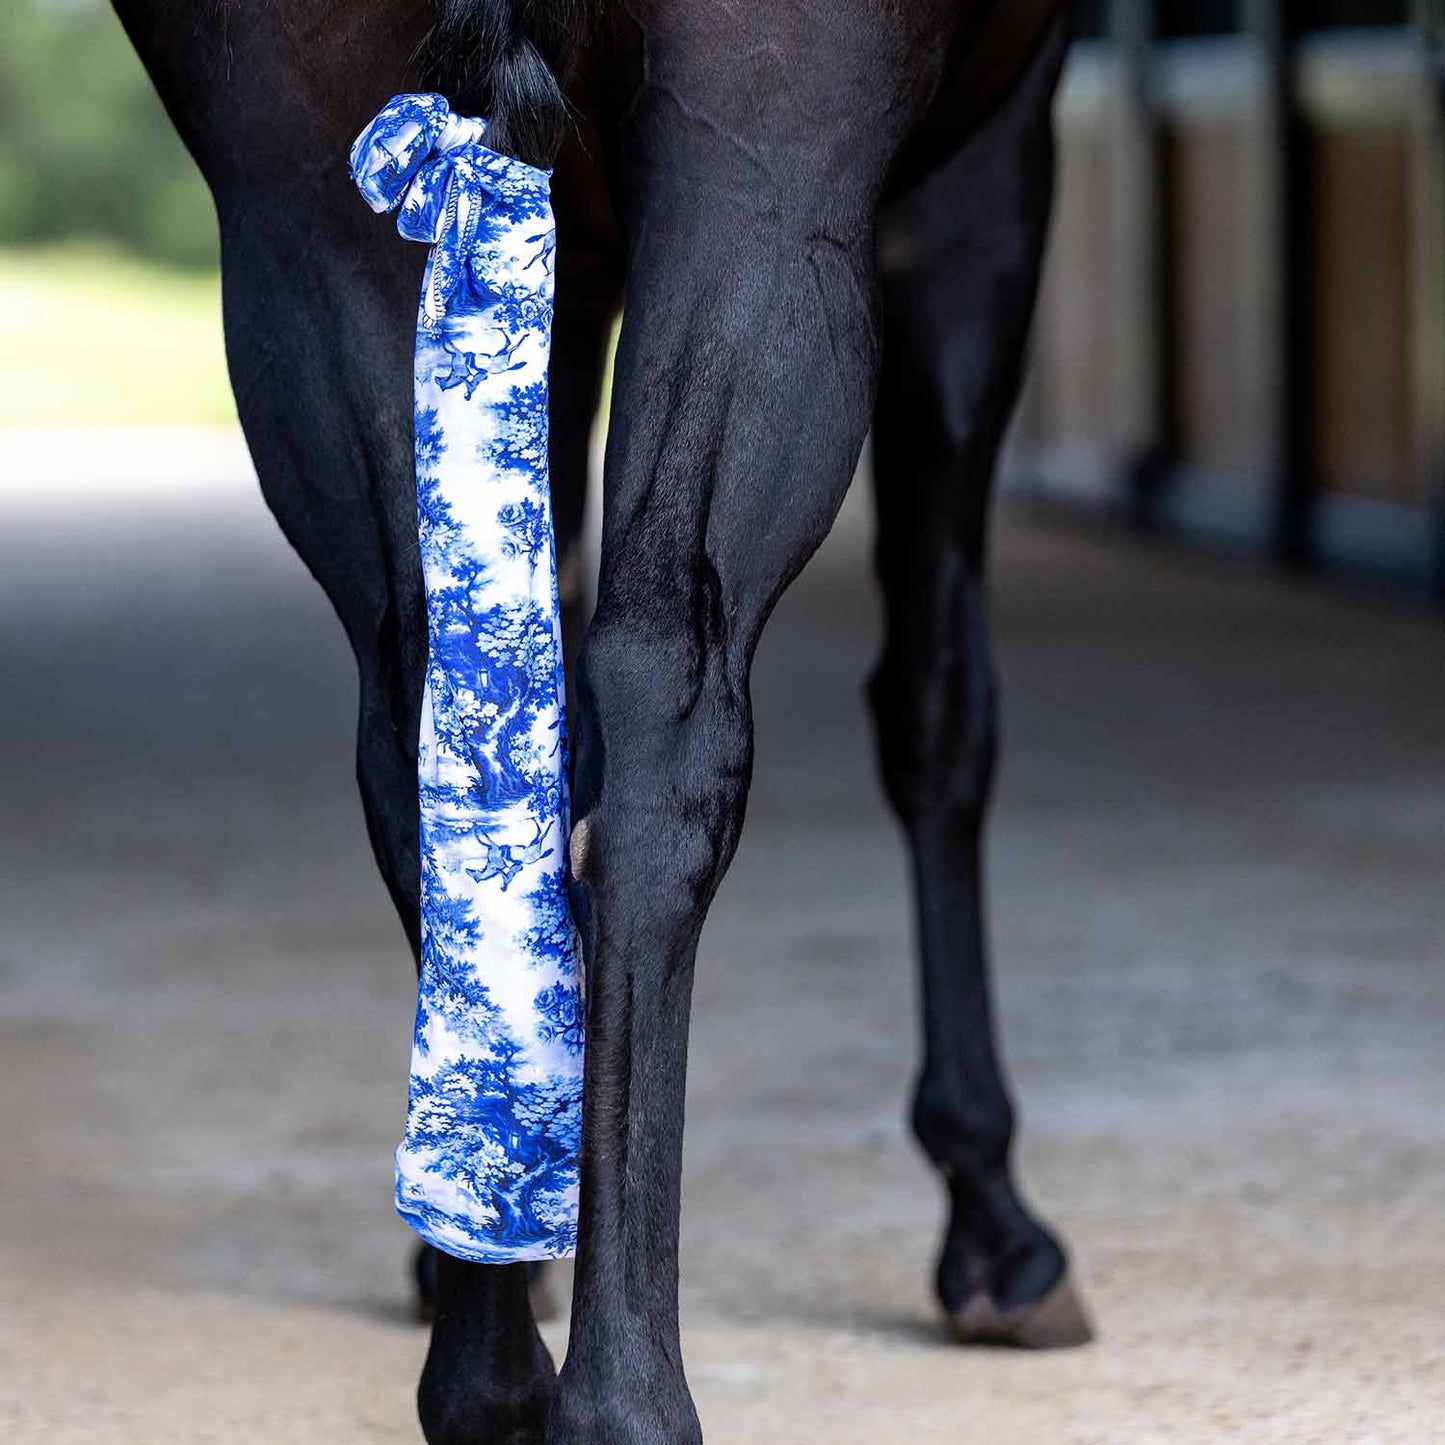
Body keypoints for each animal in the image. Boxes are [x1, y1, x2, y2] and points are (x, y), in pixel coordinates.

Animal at [110, 0, 1088, 1438]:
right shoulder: (976, 190)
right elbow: (937, 709)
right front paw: (995, 1224)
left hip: (305, 206)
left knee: (432, 709)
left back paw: (486, 1369)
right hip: (766, 170)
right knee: (668, 707)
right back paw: (621, 1393)